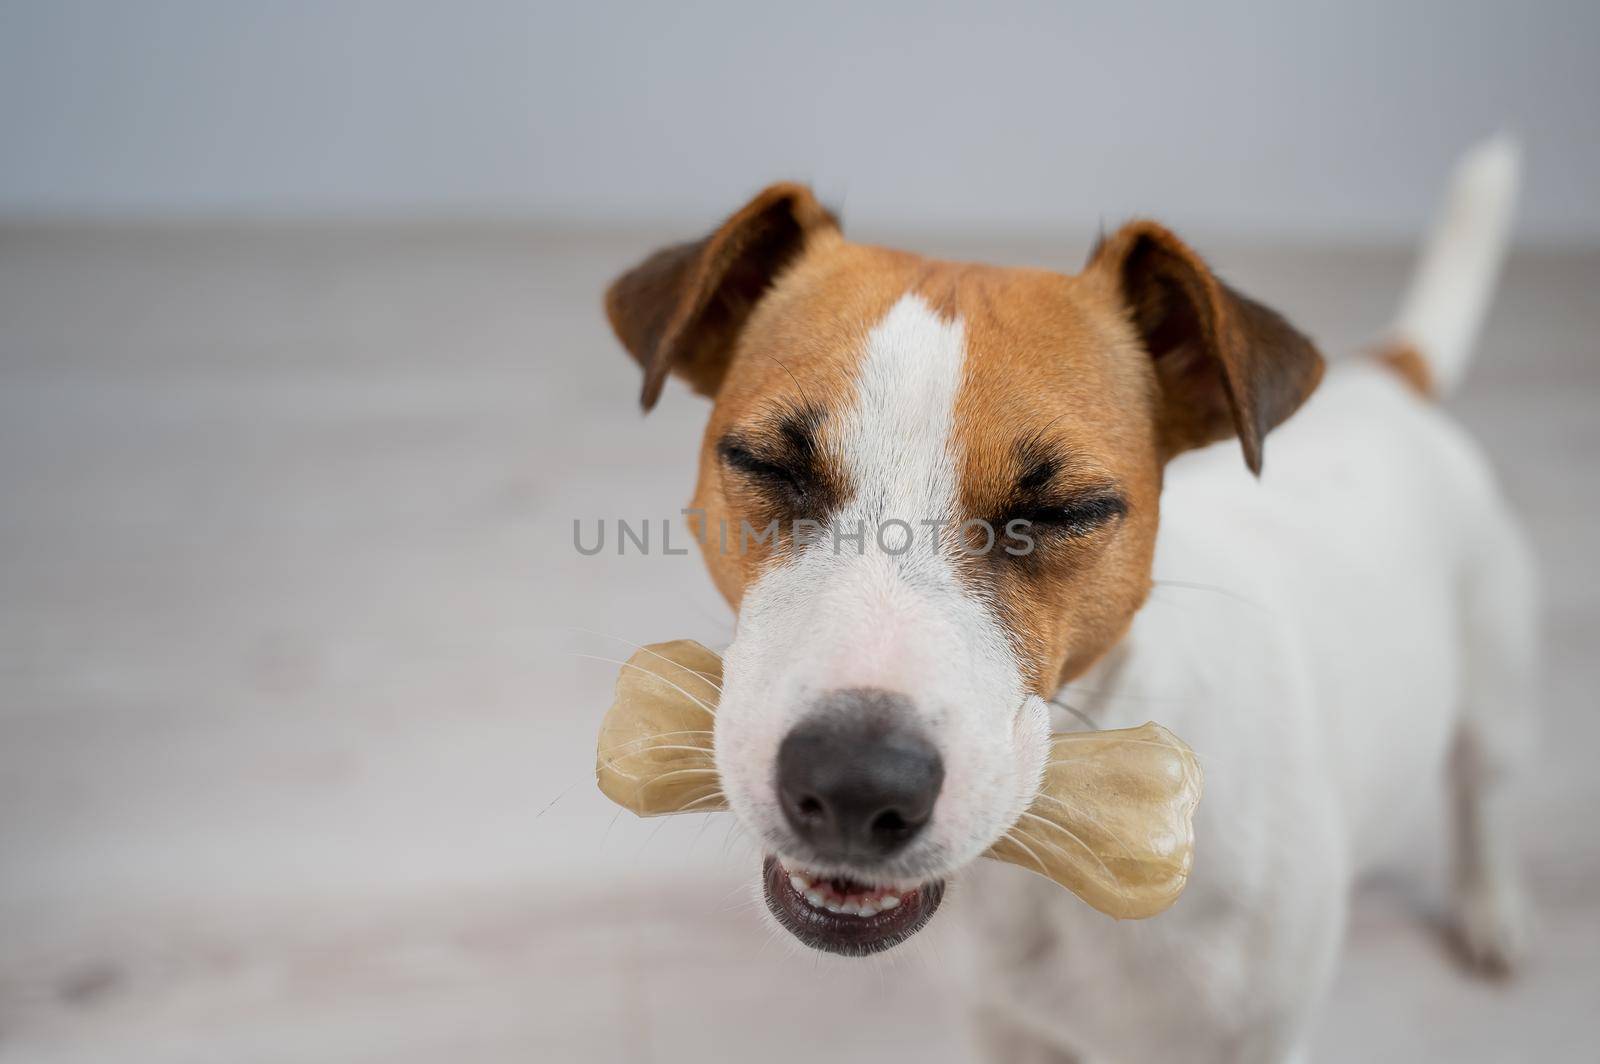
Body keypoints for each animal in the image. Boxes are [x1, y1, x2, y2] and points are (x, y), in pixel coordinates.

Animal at [601, 136, 1536, 1056]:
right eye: (767, 464)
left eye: (1063, 511)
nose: (854, 786)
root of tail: (1386, 379)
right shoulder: (1004, 1026)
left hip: (1494, 697)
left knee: (1481, 800)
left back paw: (1492, 912)